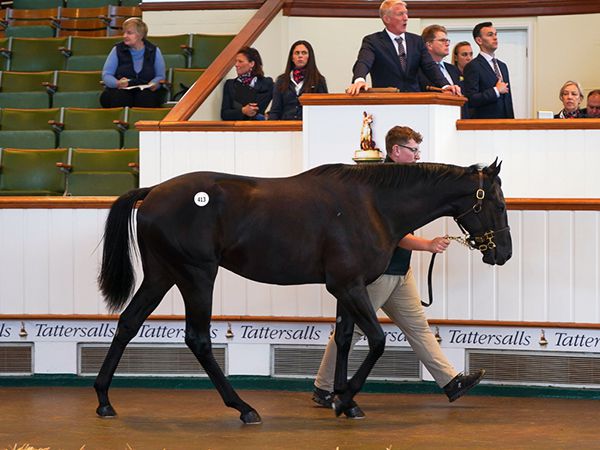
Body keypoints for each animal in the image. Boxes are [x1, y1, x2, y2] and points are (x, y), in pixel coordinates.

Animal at [94, 160, 510, 424]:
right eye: (497, 202)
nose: (503, 253)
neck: (373, 205)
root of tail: (152, 192)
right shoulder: (348, 285)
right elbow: (376, 341)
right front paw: (345, 399)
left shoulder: (347, 287)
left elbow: (344, 339)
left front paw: (342, 399)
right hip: (196, 276)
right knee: (197, 339)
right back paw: (243, 407)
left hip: (161, 275)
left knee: (128, 323)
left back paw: (103, 401)